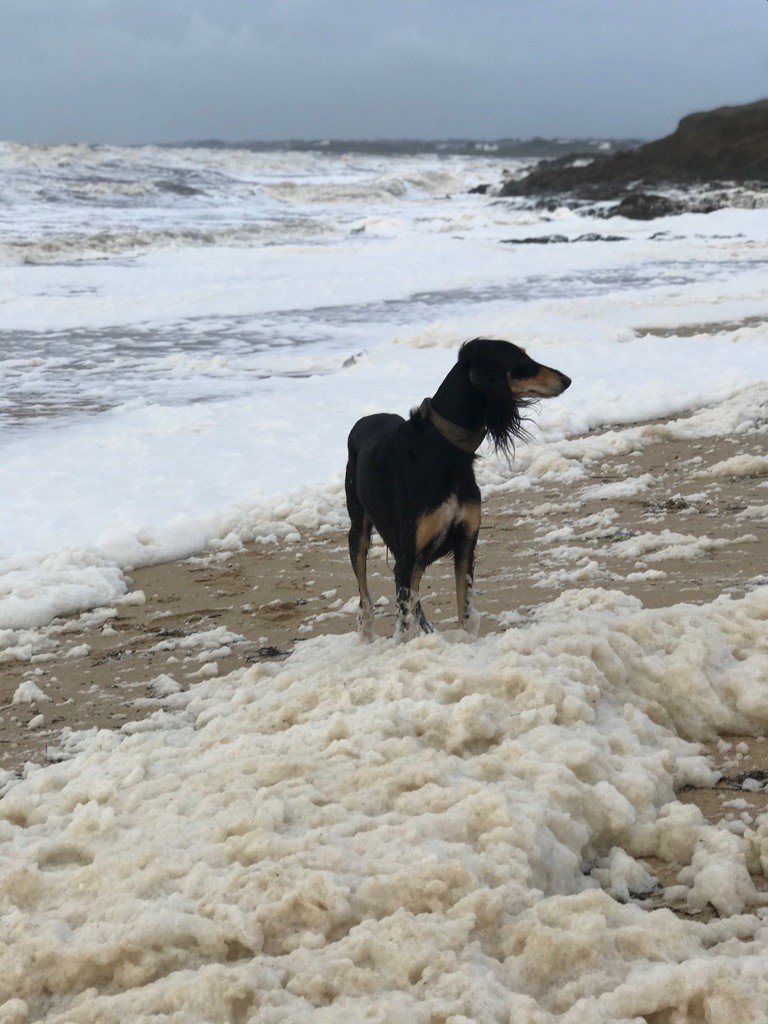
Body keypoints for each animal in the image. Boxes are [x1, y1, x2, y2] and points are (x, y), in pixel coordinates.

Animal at [346, 335, 573, 638]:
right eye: (520, 360)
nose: (567, 380)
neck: (444, 448)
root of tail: (365, 419)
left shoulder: (466, 542)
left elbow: (464, 606)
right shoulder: (407, 553)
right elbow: (403, 621)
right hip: (359, 529)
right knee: (365, 594)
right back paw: (367, 632)